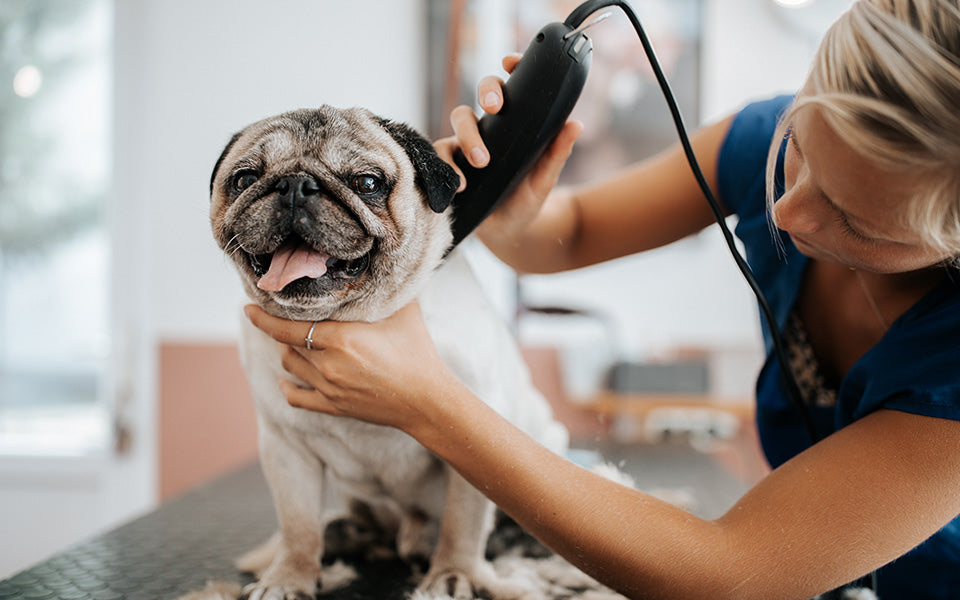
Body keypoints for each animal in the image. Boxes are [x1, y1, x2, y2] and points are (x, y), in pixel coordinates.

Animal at [208, 108, 568, 600]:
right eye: (245, 179)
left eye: (367, 183)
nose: (296, 185)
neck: (351, 320)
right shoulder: (285, 449)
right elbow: (298, 524)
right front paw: (288, 577)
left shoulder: (473, 444)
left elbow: (463, 521)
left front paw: (453, 573)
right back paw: (355, 534)